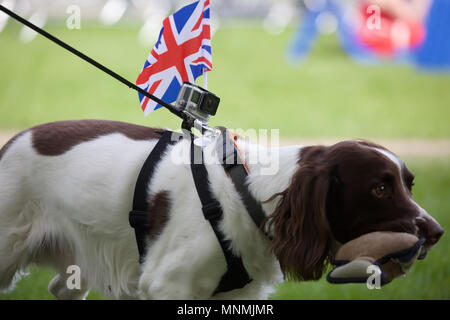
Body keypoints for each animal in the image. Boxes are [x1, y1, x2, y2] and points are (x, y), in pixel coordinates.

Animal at [0, 119, 442, 298]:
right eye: (380, 188)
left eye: (409, 184)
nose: (437, 232)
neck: (249, 194)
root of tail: (13, 140)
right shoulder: (167, 286)